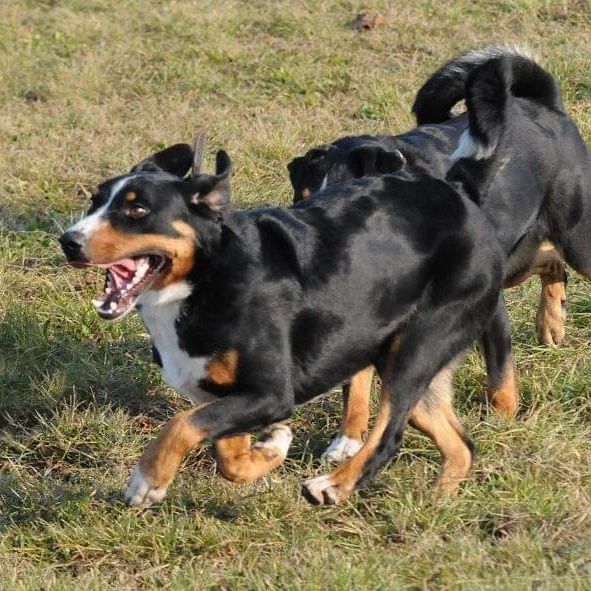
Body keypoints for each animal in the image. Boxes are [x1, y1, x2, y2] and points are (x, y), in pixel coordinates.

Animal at [59, 135, 504, 508]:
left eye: (137, 208)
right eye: (94, 202)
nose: (68, 241)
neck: (207, 278)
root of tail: (461, 199)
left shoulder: (271, 393)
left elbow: (180, 425)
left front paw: (147, 480)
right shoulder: (226, 395)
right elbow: (228, 457)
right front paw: (271, 449)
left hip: (416, 348)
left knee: (389, 435)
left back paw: (333, 486)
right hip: (409, 361)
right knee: (461, 446)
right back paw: (437, 506)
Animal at [288, 46, 591, 462]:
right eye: (303, 202)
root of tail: (543, 102)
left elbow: (500, 371)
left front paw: (502, 421)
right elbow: (356, 383)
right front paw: (347, 439)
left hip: (576, 234)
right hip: (519, 253)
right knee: (550, 260)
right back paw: (552, 320)